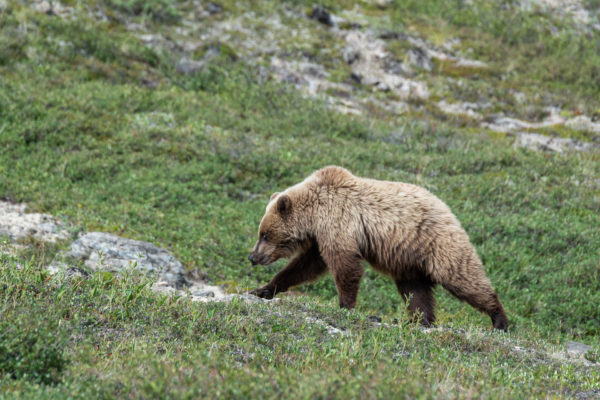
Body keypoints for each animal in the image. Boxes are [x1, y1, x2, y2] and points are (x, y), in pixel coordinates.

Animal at [247, 166, 506, 332]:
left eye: (264, 234)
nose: (252, 256)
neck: (314, 214)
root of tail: (448, 209)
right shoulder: (320, 236)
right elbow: (304, 266)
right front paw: (262, 289)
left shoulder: (338, 222)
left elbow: (345, 266)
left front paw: (345, 306)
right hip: (408, 260)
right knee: (415, 290)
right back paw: (418, 321)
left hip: (437, 243)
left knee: (462, 277)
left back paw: (499, 319)